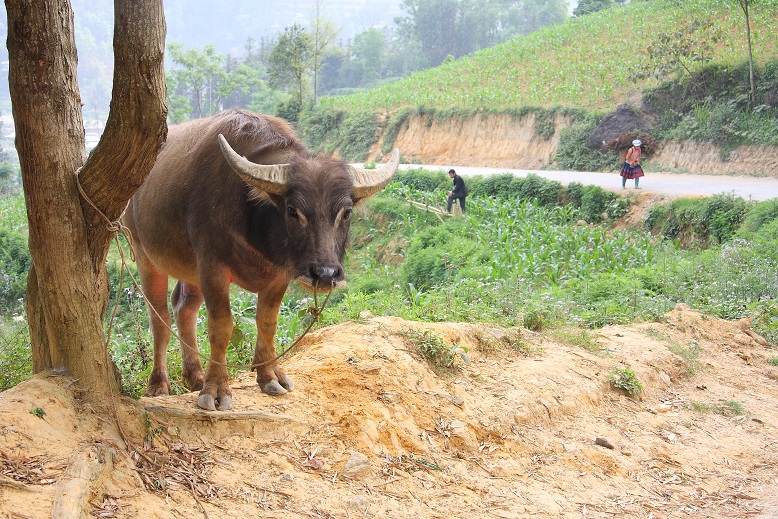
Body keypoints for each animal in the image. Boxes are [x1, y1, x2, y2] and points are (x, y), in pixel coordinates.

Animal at [125, 108, 400, 410]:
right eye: (293, 211)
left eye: (346, 212)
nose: (326, 274)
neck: (255, 221)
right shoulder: (212, 267)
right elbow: (221, 326)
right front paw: (216, 389)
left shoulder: (280, 274)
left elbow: (268, 322)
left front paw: (269, 376)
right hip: (143, 253)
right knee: (159, 318)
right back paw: (159, 384)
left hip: (189, 270)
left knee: (184, 309)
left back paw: (195, 376)